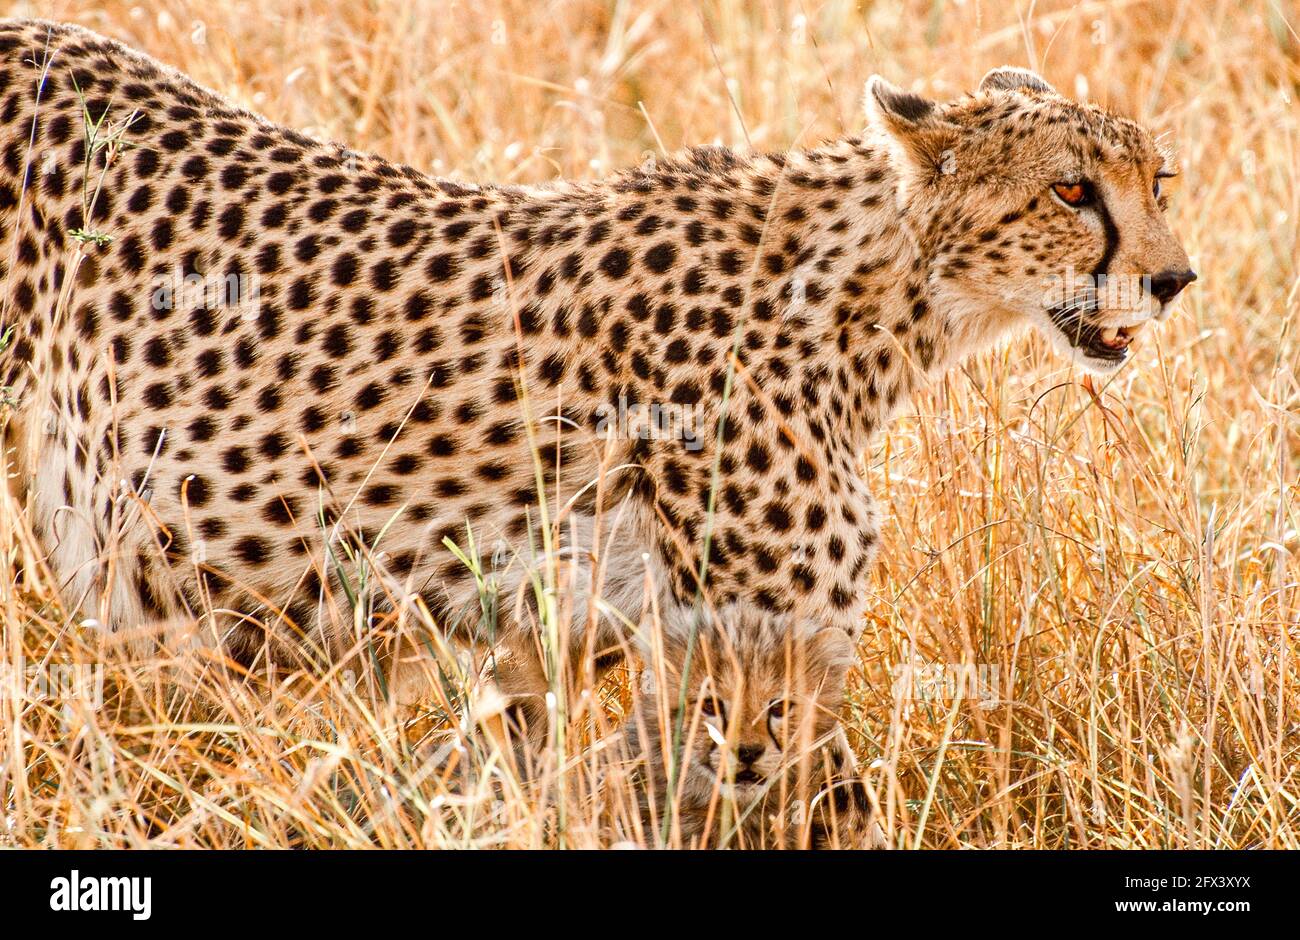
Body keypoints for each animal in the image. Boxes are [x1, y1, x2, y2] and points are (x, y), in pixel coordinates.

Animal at [0, 22, 1190, 769]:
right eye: (1071, 192)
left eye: (1157, 180)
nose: (1174, 279)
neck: (873, 301)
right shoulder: (750, 659)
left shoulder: (549, 656)